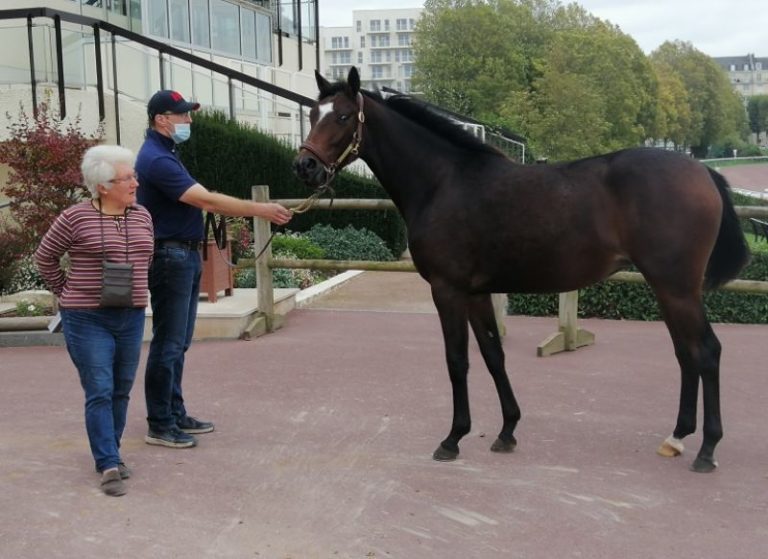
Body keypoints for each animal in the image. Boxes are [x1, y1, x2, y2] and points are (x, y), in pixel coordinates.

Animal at [293, 67, 750, 473]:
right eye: (313, 114)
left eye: (344, 116)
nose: (305, 167)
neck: (443, 182)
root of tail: (701, 171)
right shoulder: (476, 292)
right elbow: (493, 355)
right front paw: (507, 430)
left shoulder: (447, 290)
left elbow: (457, 360)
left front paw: (452, 439)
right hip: (668, 288)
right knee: (685, 353)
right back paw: (677, 437)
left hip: (677, 287)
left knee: (706, 352)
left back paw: (707, 449)